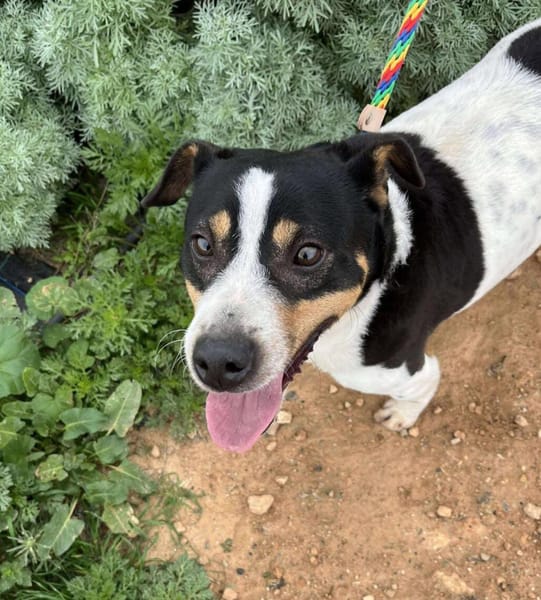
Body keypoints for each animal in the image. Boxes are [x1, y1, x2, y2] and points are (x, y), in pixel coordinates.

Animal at [143, 20, 541, 452]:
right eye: (202, 244)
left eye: (307, 254)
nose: (217, 362)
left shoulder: (408, 370)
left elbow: (423, 388)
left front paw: (402, 416)